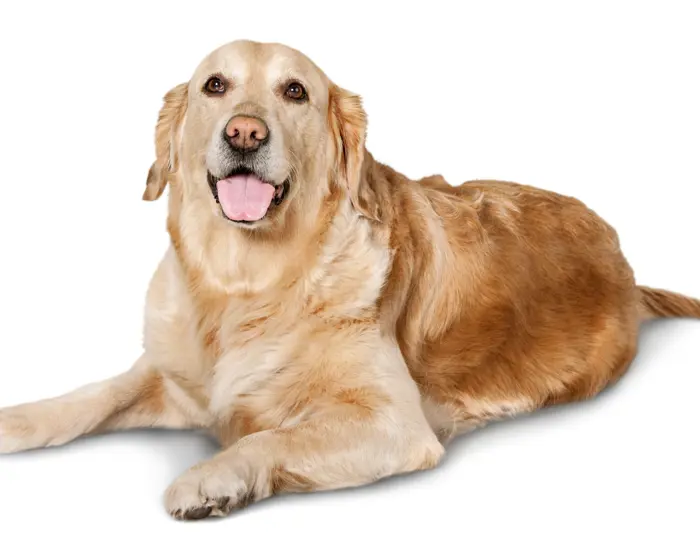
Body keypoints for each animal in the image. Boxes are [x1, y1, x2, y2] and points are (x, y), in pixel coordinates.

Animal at [1, 40, 698, 521]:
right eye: (215, 85)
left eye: (295, 92)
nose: (245, 132)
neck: (245, 284)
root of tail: (624, 261)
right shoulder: (172, 375)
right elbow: (95, 395)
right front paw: (18, 419)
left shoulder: (396, 424)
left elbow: (279, 433)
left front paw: (211, 475)